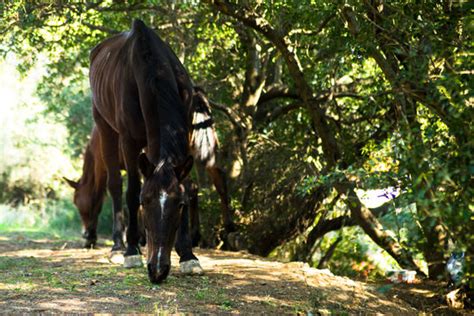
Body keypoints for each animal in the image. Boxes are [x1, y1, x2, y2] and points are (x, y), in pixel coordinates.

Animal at [88, 18, 199, 282]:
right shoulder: (129, 140)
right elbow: (131, 189)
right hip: (105, 127)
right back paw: (118, 247)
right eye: (144, 202)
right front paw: (131, 252)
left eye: (180, 205)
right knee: (115, 186)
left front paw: (188, 255)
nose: (157, 270)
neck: (153, 70)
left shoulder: (187, 129)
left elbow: (187, 184)